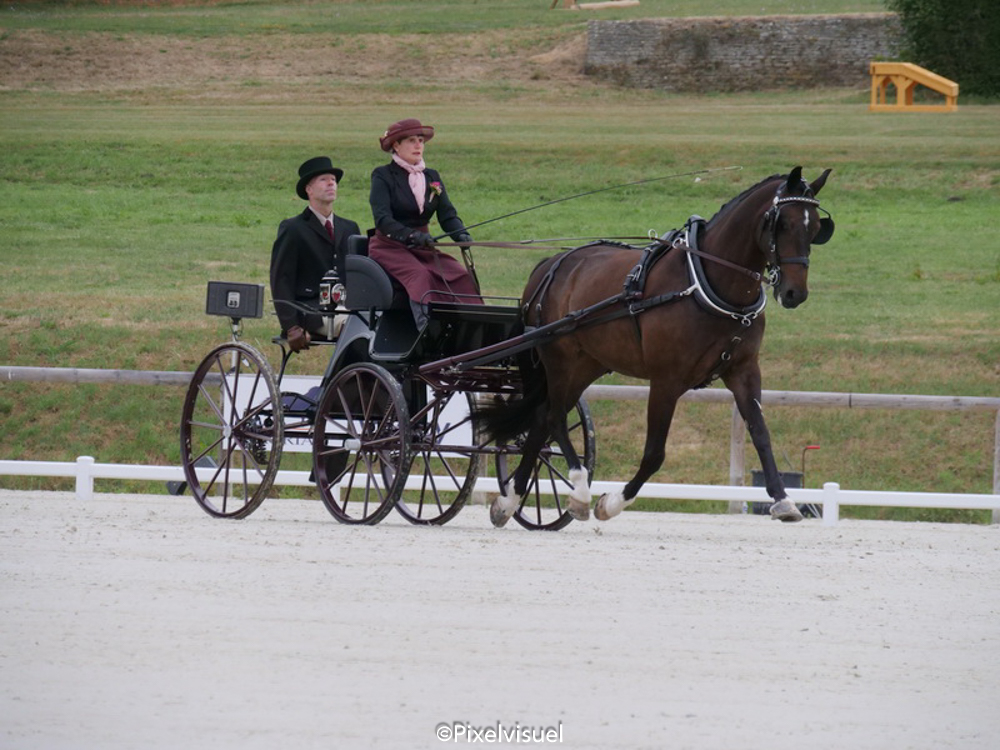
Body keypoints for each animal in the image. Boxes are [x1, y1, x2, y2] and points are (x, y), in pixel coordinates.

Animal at [480, 164, 832, 528]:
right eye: (783, 223)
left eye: (816, 227)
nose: (794, 293)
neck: (707, 281)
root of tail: (552, 263)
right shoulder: (666, 379)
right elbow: (654, 453)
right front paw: (612, 503)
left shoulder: (743, 370)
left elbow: (761, 435)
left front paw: (783, 500)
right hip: (560, 360)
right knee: (553, 417)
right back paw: (578, 489)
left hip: (586, 364)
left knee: (541, 419)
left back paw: (510, 500)